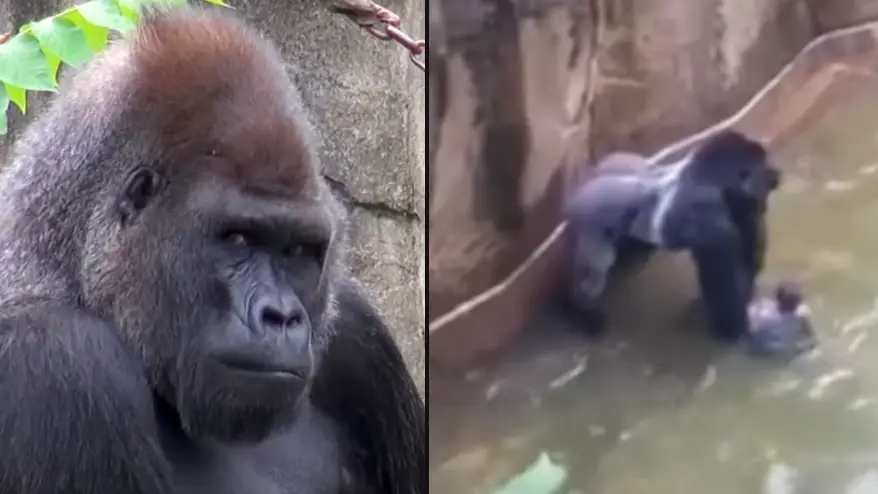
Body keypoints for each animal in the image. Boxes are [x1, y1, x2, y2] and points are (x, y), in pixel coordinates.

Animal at [560, 131, 781, 341]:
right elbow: (724, 284)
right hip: (586, 219)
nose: (776, 176)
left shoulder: (740, 208)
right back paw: (582, 311)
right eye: (764, 171)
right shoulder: (709, 217)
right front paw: (734, 329)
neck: (708, 177)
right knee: (595, 269)